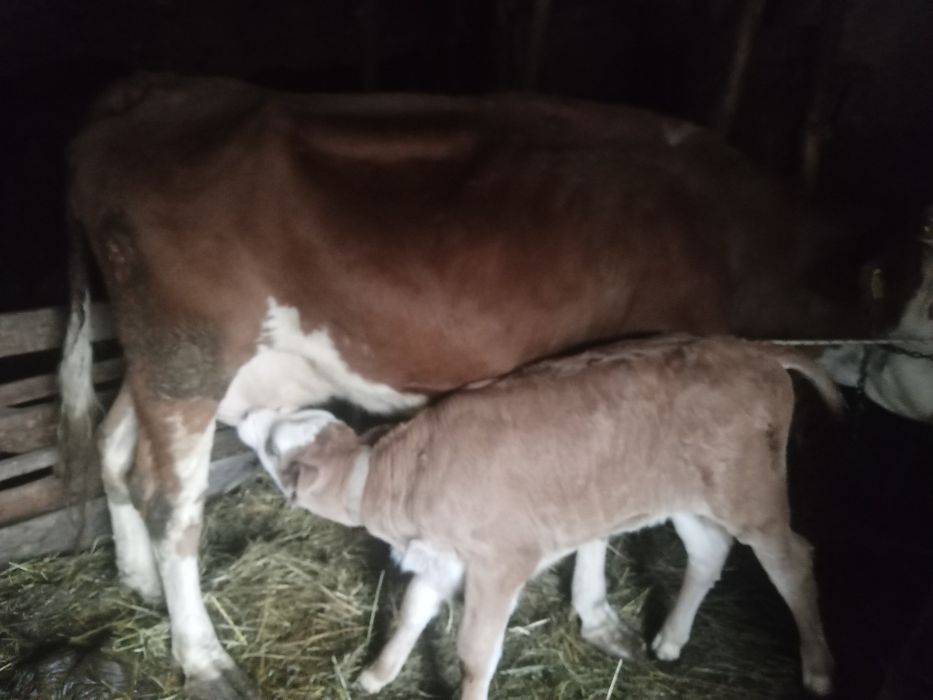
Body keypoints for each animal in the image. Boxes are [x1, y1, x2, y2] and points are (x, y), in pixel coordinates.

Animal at [237, 335, 841, 699]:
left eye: (272, 445)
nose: (245, 417)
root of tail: (758, 351)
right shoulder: (442, 558)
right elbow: (412, 613)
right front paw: (375, 674)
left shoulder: (498, 565)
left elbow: (475, 654)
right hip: (689, 499)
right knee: (709, 552)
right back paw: (669, 640)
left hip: (752, 495)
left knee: (794, 561)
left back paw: (818, 670)